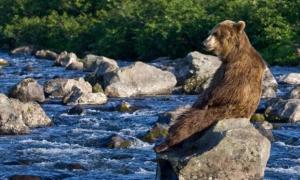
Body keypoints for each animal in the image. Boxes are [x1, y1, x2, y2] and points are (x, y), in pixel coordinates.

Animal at [156, 19, 266, 153]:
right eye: (210, 32)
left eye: (216, 33)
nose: (204, 43)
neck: (232, 55)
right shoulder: (221, 69)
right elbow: (210, 88)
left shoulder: (239, 69)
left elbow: (228, 89)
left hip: (223, 112)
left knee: (191, 121)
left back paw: (165, 144)